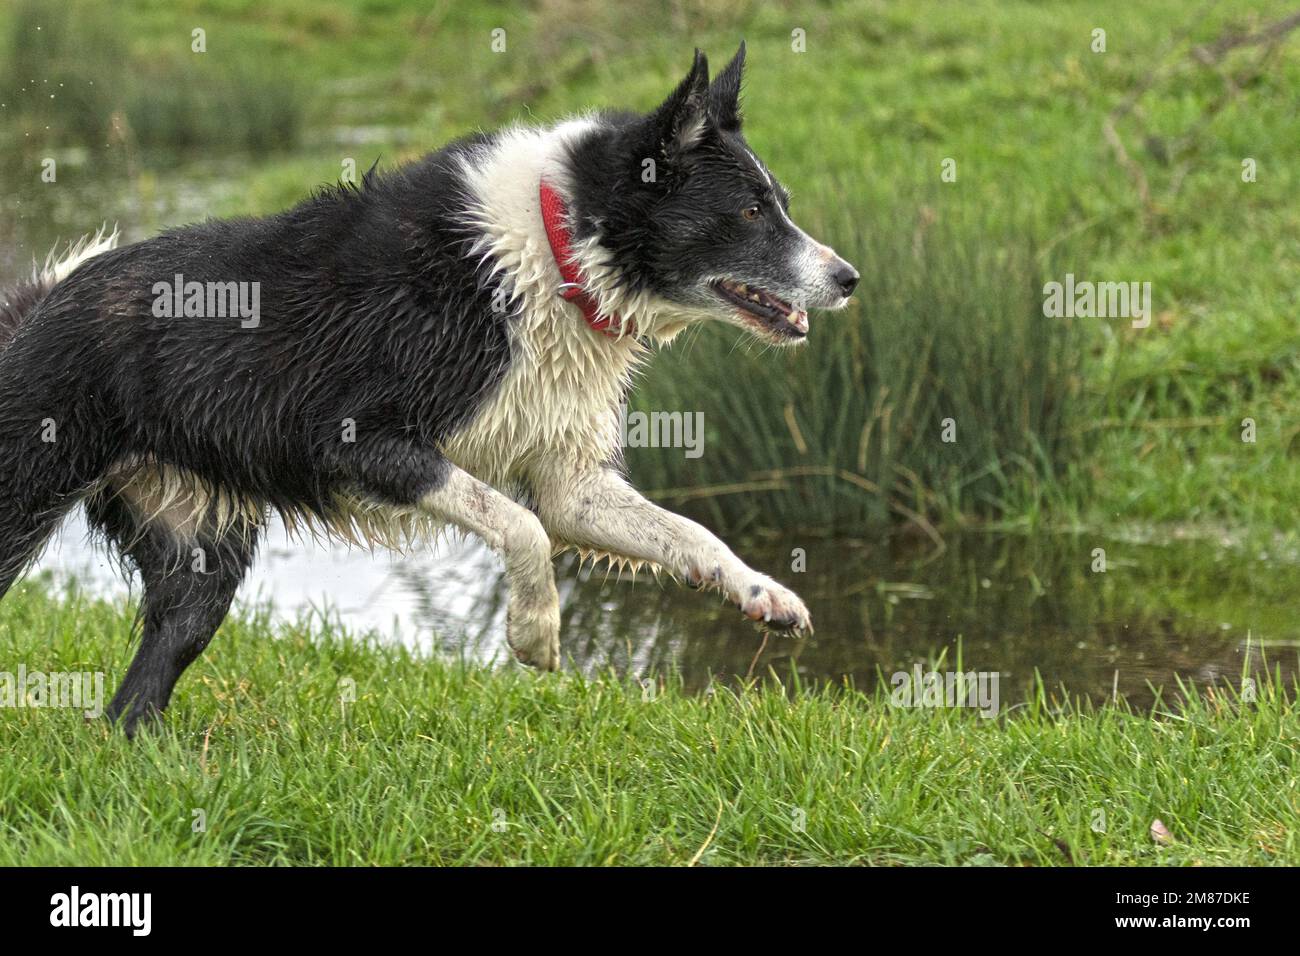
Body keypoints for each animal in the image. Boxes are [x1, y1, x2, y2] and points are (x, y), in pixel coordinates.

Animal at [0, 42, 857, 733]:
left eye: (780, 203)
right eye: (749, 211)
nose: (849, 278)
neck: (556, 249)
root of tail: (41, 300)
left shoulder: (572, 483)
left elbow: (685, 532)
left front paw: (762, 592)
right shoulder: (362, 440)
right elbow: (521, 525)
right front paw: (534, 633)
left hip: (195, 552)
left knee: (138, 693)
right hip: (28, 489)